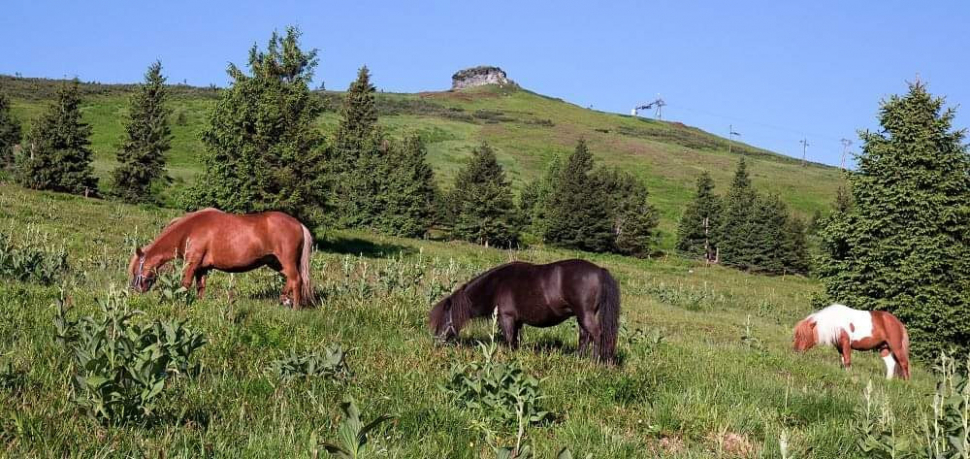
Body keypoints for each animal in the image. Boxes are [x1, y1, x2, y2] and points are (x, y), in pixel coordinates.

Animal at [127, 208, 314, 310]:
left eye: (137, 270)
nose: (136, 289)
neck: (189, 230)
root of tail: (298, 224)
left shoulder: (191, 264)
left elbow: (184, 284)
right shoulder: (202, 268)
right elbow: (200, 287)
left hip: (286, 261)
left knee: (296, 280)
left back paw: (294, 307)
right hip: (275, 262)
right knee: (291, 279)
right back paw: (283, 299)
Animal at [426, 258, 620, 362]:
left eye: (443, 319)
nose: (436, 343)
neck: (496, 285)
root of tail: (600, 270)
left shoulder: (507, 318)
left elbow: (509, 341)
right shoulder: (518, 322)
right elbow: (516, 342)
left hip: (586, 315)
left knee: (597, 335)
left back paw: (594, 361)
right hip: (581, 316)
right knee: (584, 337)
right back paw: (578, 358)